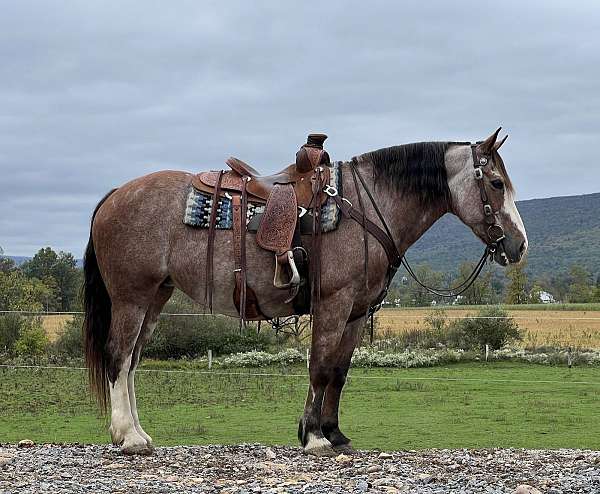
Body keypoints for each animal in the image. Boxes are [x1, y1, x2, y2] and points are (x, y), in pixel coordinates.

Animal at [83, 127, 524, 456]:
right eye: (496, 183)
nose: (519, 246)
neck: (367, 206)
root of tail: (115, 195)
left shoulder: (356, 312)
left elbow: (339, 372)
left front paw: (334, 433)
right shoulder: (333, 303)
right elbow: (320, 368)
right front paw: (313, 437)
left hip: (156, 296)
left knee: (133, 361)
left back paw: (137, 432)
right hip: (131, 297)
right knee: (119, 355)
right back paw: (128, 437)